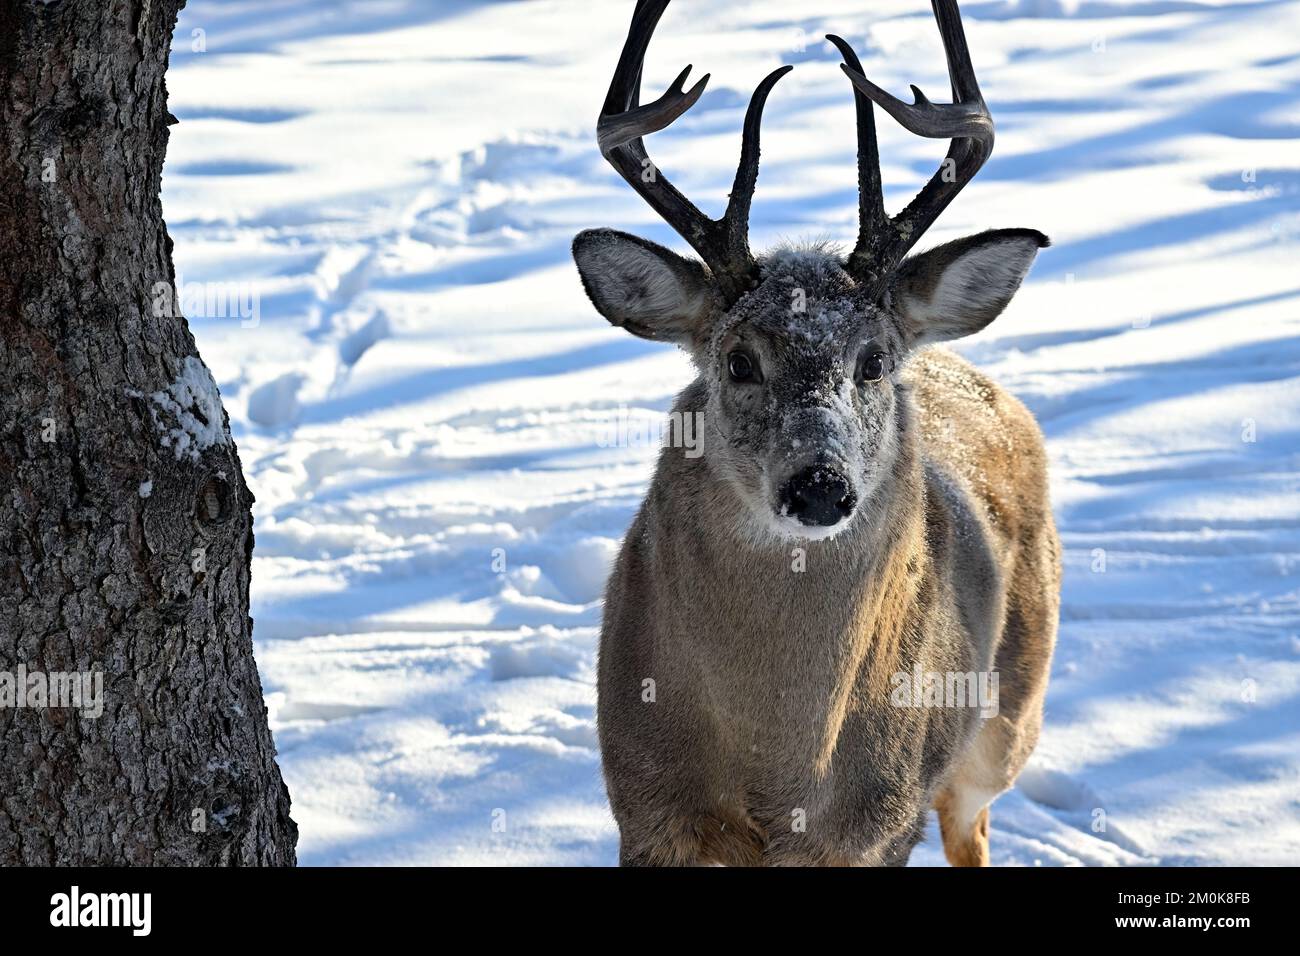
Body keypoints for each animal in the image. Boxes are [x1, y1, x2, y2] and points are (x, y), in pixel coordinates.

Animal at [571, 0, 1060, 866]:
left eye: (873, 360)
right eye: (738, 360)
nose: (820, 487)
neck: (776, 771)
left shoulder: (878, 824)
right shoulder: (647, 810)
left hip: (1006, 724)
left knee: (973, 825)